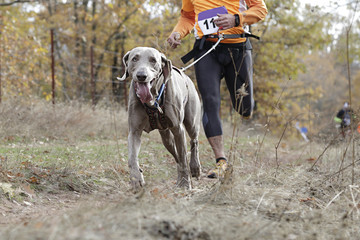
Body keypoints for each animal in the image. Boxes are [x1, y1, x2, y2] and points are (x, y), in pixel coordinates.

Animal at [119, 47, 201, 189]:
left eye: (153, 60)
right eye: (134, 59)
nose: (141, 76)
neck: (152, 100)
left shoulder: (178, 129)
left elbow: (183, 158)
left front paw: (186, 183)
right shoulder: (134, 131)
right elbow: (132, 157)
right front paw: (136, 178)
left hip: (192, 122)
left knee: (193, 142)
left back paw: (195, 167)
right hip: (166, 137)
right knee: (176, 156)